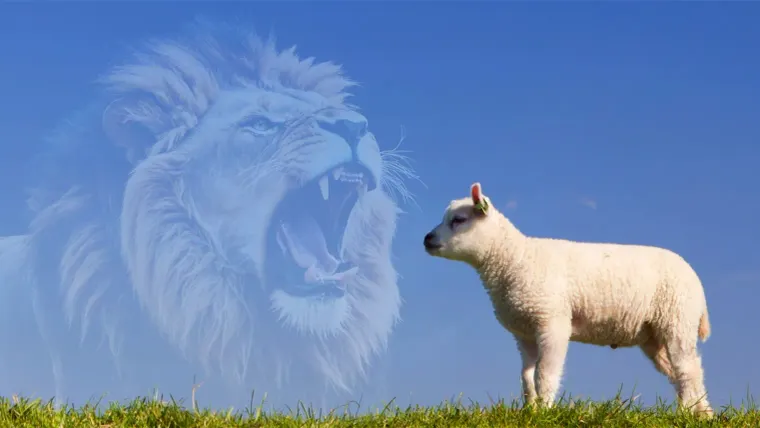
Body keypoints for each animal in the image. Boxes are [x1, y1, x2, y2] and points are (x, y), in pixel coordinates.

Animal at [423, 182, 713, 417]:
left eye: (459, 220)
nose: (426, 239)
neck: (515, 259)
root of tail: (696, 281)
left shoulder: (552, 321)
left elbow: (544, 374)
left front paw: (545, 412)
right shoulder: (524, 332)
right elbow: (526, 378)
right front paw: (530, 411)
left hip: (677, 319)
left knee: (686, 369)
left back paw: (687, 413)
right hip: (654, 335)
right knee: (684, 372)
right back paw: (702, 413)